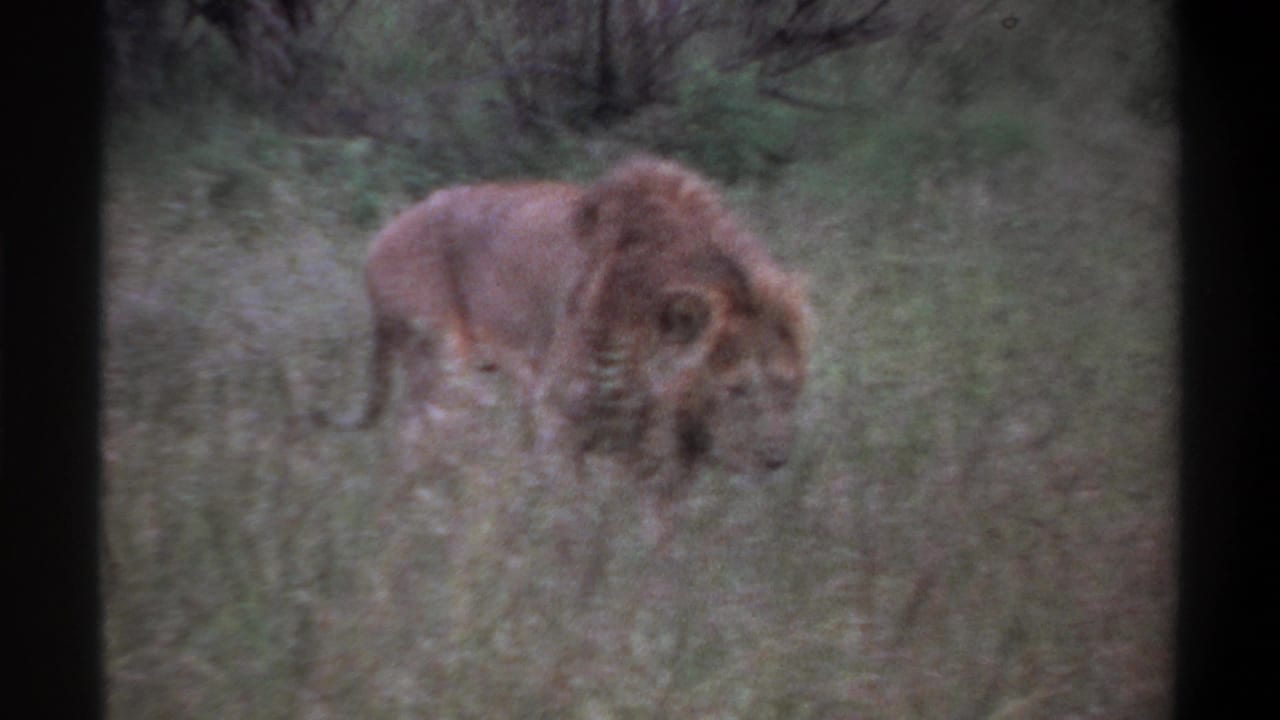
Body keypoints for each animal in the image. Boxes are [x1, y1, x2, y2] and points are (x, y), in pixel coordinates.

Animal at [320, 156, 813, 541]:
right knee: (418, 459)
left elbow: (661, 537)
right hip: (446, 380)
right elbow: (571, 519)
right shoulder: (557, 417)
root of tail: (380, 238)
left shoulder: (662, 455)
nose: (774, 459)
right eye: (737, 389)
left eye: (787, 387)